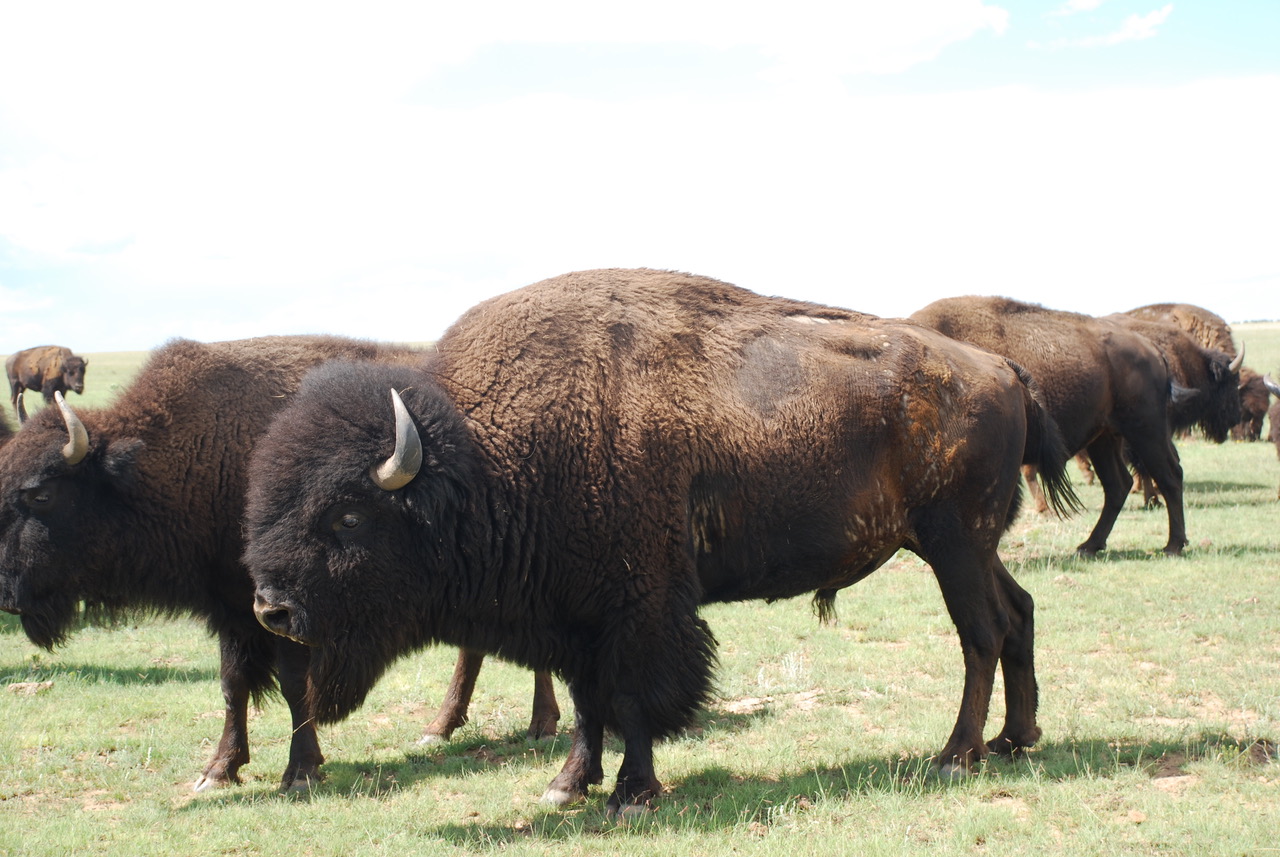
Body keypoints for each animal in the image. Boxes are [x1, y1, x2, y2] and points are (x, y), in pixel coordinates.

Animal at [245, 268, 1079, 814]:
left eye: (348, 515)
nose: (271, 609)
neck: (483, 458)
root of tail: (1002, 366)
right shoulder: (575, 615)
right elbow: (588, 704)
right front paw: (566, 785)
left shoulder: (635, 606)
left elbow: (630, 698)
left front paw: (632, 793)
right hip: (969, 548)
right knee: (1021, 612)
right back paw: (1017, 738)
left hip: (953, 545)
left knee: (981, 632)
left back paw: (955, 755)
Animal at [912, 296, 1240, 557]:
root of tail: (1152, 349)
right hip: (1104, 439)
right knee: (1118, 485)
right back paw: (1090, 546)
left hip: (1146, 430)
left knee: (1170, 475)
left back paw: (1173, 545)